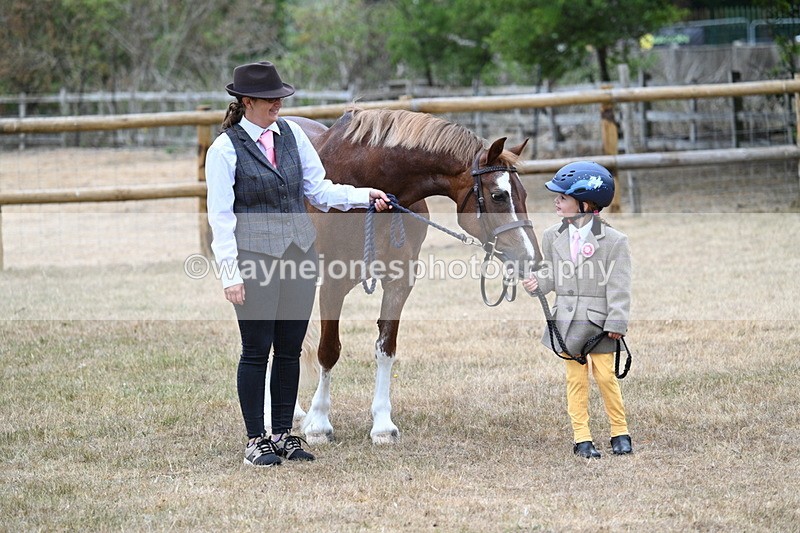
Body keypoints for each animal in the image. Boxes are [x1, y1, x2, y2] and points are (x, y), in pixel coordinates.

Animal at [288, 108, 541, 444]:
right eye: (499, 196)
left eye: (524, 193)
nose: (531, 257)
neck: (367, 185)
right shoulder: (332, 284)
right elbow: (328, 351)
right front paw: (318, 425)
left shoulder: (400, 282)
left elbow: (386, 349)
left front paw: (382, 426)